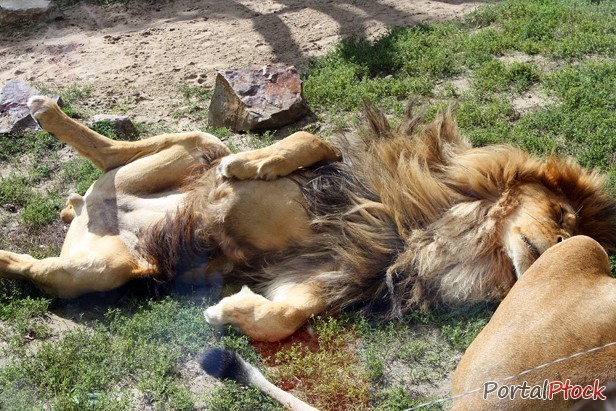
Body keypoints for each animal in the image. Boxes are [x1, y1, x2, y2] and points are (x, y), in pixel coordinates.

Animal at [0, 96, 612, 342]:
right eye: (562, 214)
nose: (564, 243)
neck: (428, 233)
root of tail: (90, 209)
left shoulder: (326, 272)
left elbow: (287, 315)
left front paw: (230, 311)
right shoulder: (343, 173)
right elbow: (312, 140)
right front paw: (252, 165)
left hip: (103, 270)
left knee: (49, 263)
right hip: (187, 153)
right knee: (133, 148)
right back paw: (46, 110)